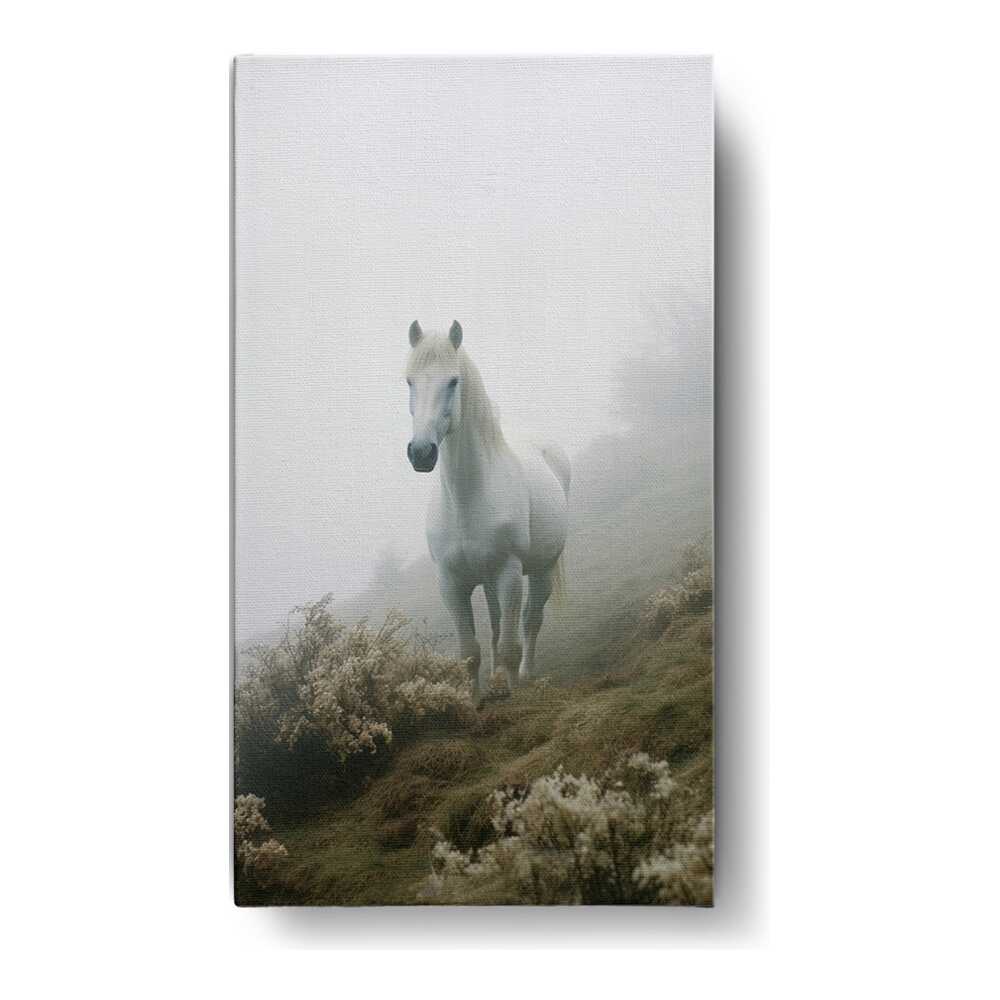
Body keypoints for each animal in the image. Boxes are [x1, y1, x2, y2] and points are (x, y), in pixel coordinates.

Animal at [404, 320, 570, 700]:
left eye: (453, 381)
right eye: (409, 381)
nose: (421, 452)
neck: (467, 500)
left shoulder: (508, 574)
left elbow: (510, 646)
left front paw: (516, 695)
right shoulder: (451, 583)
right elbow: (470, 651)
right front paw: (474, 702)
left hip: (540, 569)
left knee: (530, 621)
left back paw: (525, 675)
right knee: (496, 624)